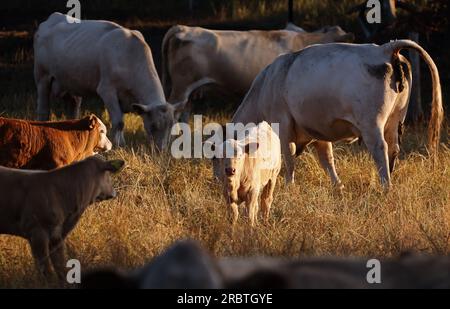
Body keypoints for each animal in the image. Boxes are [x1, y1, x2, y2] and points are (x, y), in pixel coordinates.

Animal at [33, 13, 213, 149]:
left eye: (171, 126)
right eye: (153, 126)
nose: (161, 150)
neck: (129, 55)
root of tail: (52, 18)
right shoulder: (107, 90)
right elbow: (119, 121)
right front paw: (119, 145)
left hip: (71, 85)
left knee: (73, 108)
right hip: (42, 78)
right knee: (43, 110)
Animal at [230, 39, 442, 186]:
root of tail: (385, 48)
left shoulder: (283, 125)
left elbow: (288, 158)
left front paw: (289, 185)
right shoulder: (318, 131)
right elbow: (327, 160)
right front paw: (337, 186)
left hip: (372, 124)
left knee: (380, 149)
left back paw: (385, 185)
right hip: (395, 120)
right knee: (393, 148)